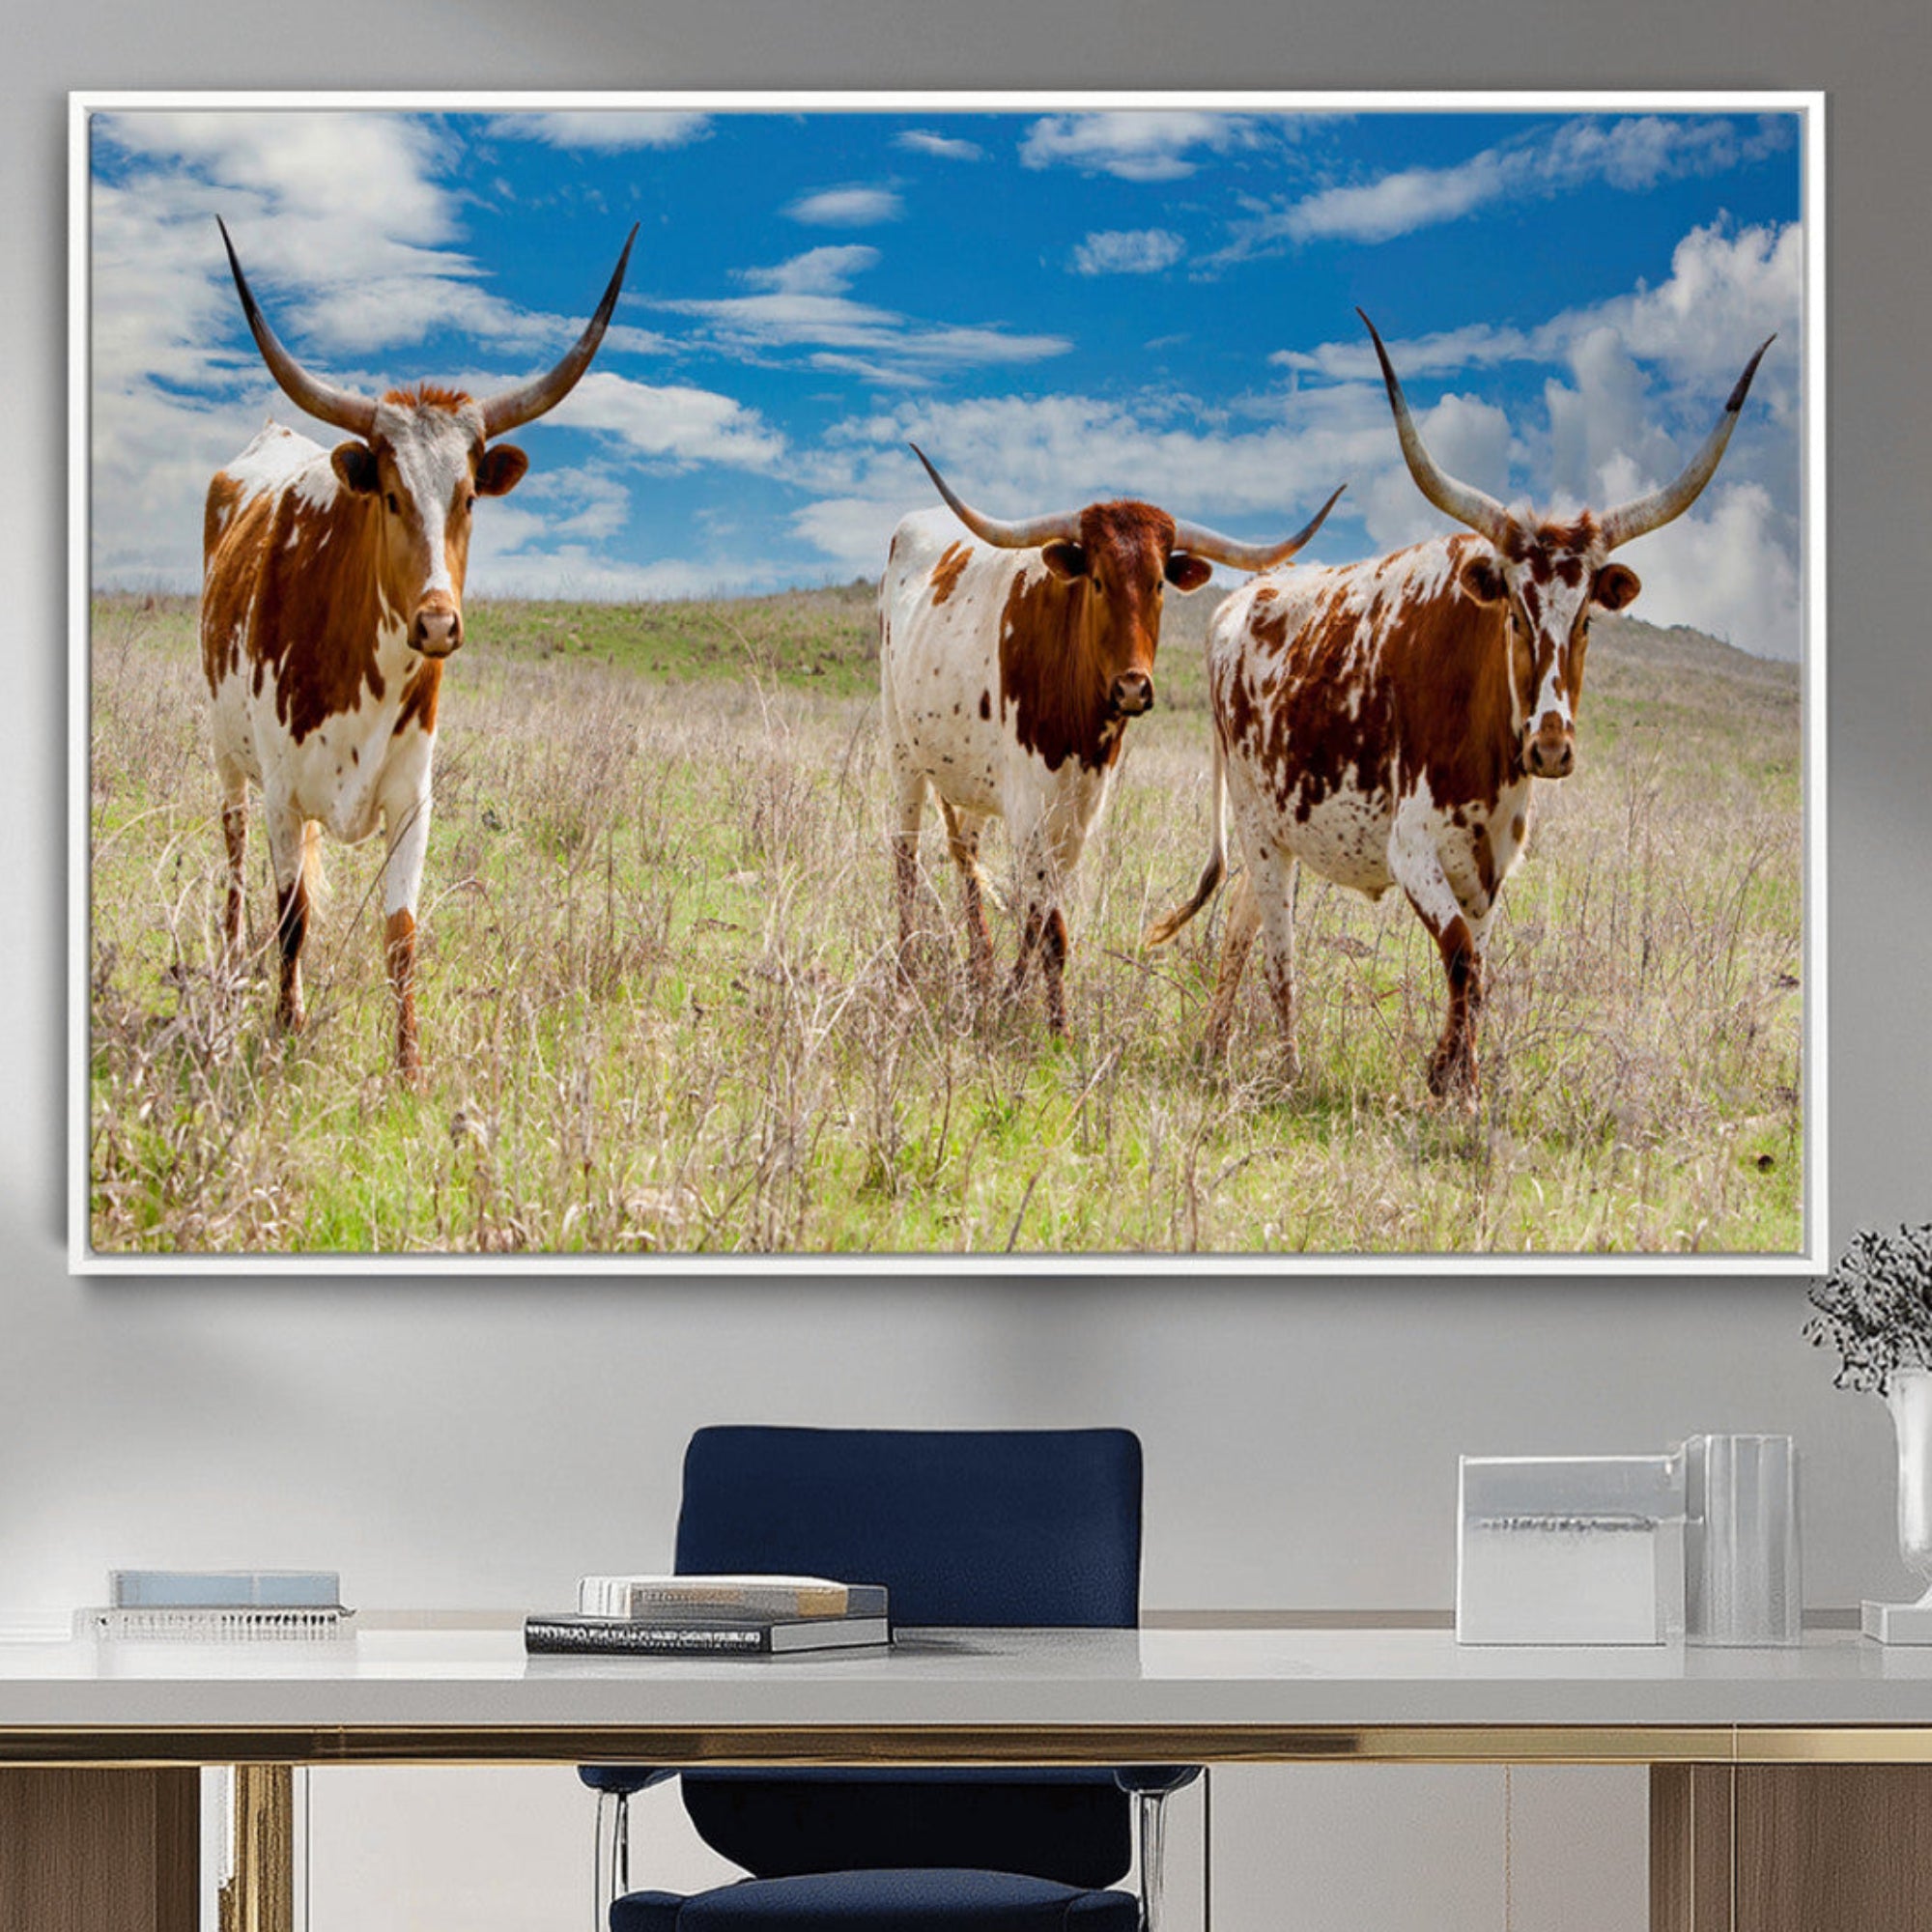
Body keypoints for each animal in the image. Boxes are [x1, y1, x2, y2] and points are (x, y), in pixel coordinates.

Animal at [200, 219, 635, 1077]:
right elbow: (292, 916)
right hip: (231, 762)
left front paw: (408, 1069)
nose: (438, 624)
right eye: (393, 497)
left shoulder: (413, 798)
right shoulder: (280, 795)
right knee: (234, 865)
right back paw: (232, 970)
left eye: (468, 498)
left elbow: (400, 936)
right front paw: (286, 1029)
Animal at [881, 447, 1345, 1033]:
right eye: (1097, 581)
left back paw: (980, 968)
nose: (1132, 687)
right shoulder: (1031, 807)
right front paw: (1052, 1028)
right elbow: (1049, 926)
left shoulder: (1077, 808)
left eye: (1159, 584)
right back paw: (904, 978)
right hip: (902, 751)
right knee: (905, 859)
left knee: (965, 851)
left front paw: (1018, 1003)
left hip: (971, 778)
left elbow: (1040, 914)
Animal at [1147, 312, 1772, 1101]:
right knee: (1278, 952)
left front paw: (1457, 1072)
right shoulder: (1412, 848)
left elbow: (1476, 970)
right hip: (1260, 828)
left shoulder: (1492, 867)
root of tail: (1237, 601)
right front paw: (1455, 1083)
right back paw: (1288, 1067)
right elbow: (1462, 960)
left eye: (1586, 621)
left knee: (1238, 923)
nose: (1551, 747)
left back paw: (1215, 1049)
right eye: (1514, 614)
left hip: (1281, 833)